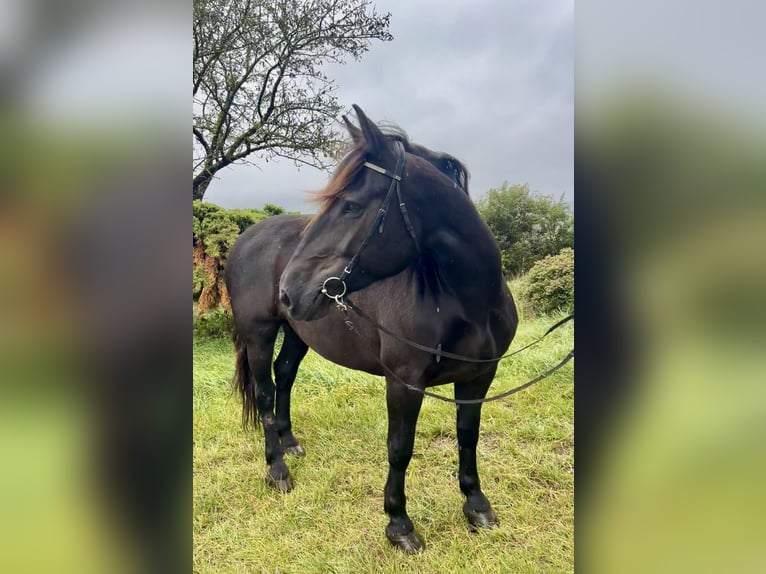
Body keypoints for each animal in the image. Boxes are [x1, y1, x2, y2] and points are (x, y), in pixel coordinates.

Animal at [225, 106, 520, 556]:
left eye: (350, 206)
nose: (288, 290)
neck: (466, 301)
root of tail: (245, 239)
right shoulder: (404, 382)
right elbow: (400, 448)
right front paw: (399, 525)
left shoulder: (481, 375)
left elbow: (468, 435)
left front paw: (476, 506)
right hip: (259, 333)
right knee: (263, 394)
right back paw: (277, 470)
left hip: (297, 332)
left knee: (284, 375)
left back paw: (290, 443)